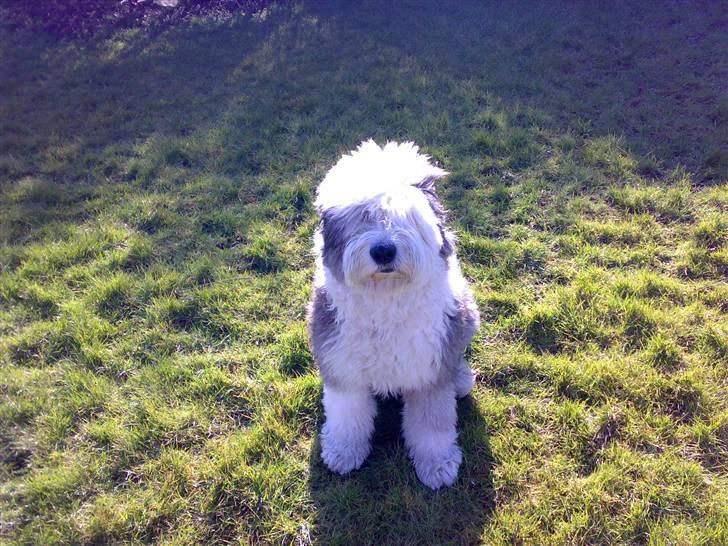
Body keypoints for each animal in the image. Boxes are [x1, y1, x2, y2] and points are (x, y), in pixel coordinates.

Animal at [306, 140, 480, 488]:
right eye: (363, 217)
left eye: (406, 218)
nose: (383, 251)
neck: (386, 300)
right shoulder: (343, 367)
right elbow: (347, 416)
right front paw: (344, 453)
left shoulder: (430, 371)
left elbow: (431, 425)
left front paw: (437, 465)